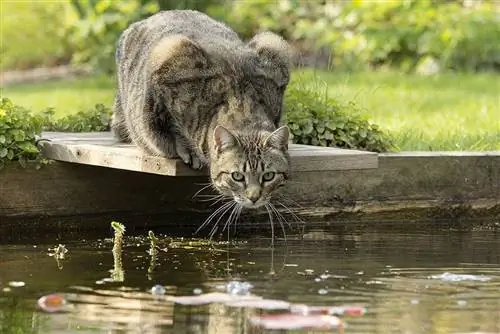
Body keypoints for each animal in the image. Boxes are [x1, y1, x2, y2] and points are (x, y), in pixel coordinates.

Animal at [111, 9, 292, 209]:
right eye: (237, 176)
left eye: (269, 176)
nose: (254, 197)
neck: (242, 101)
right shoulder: (167, 64)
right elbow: (170, 126)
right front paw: (187, 150)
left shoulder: (274, 59)